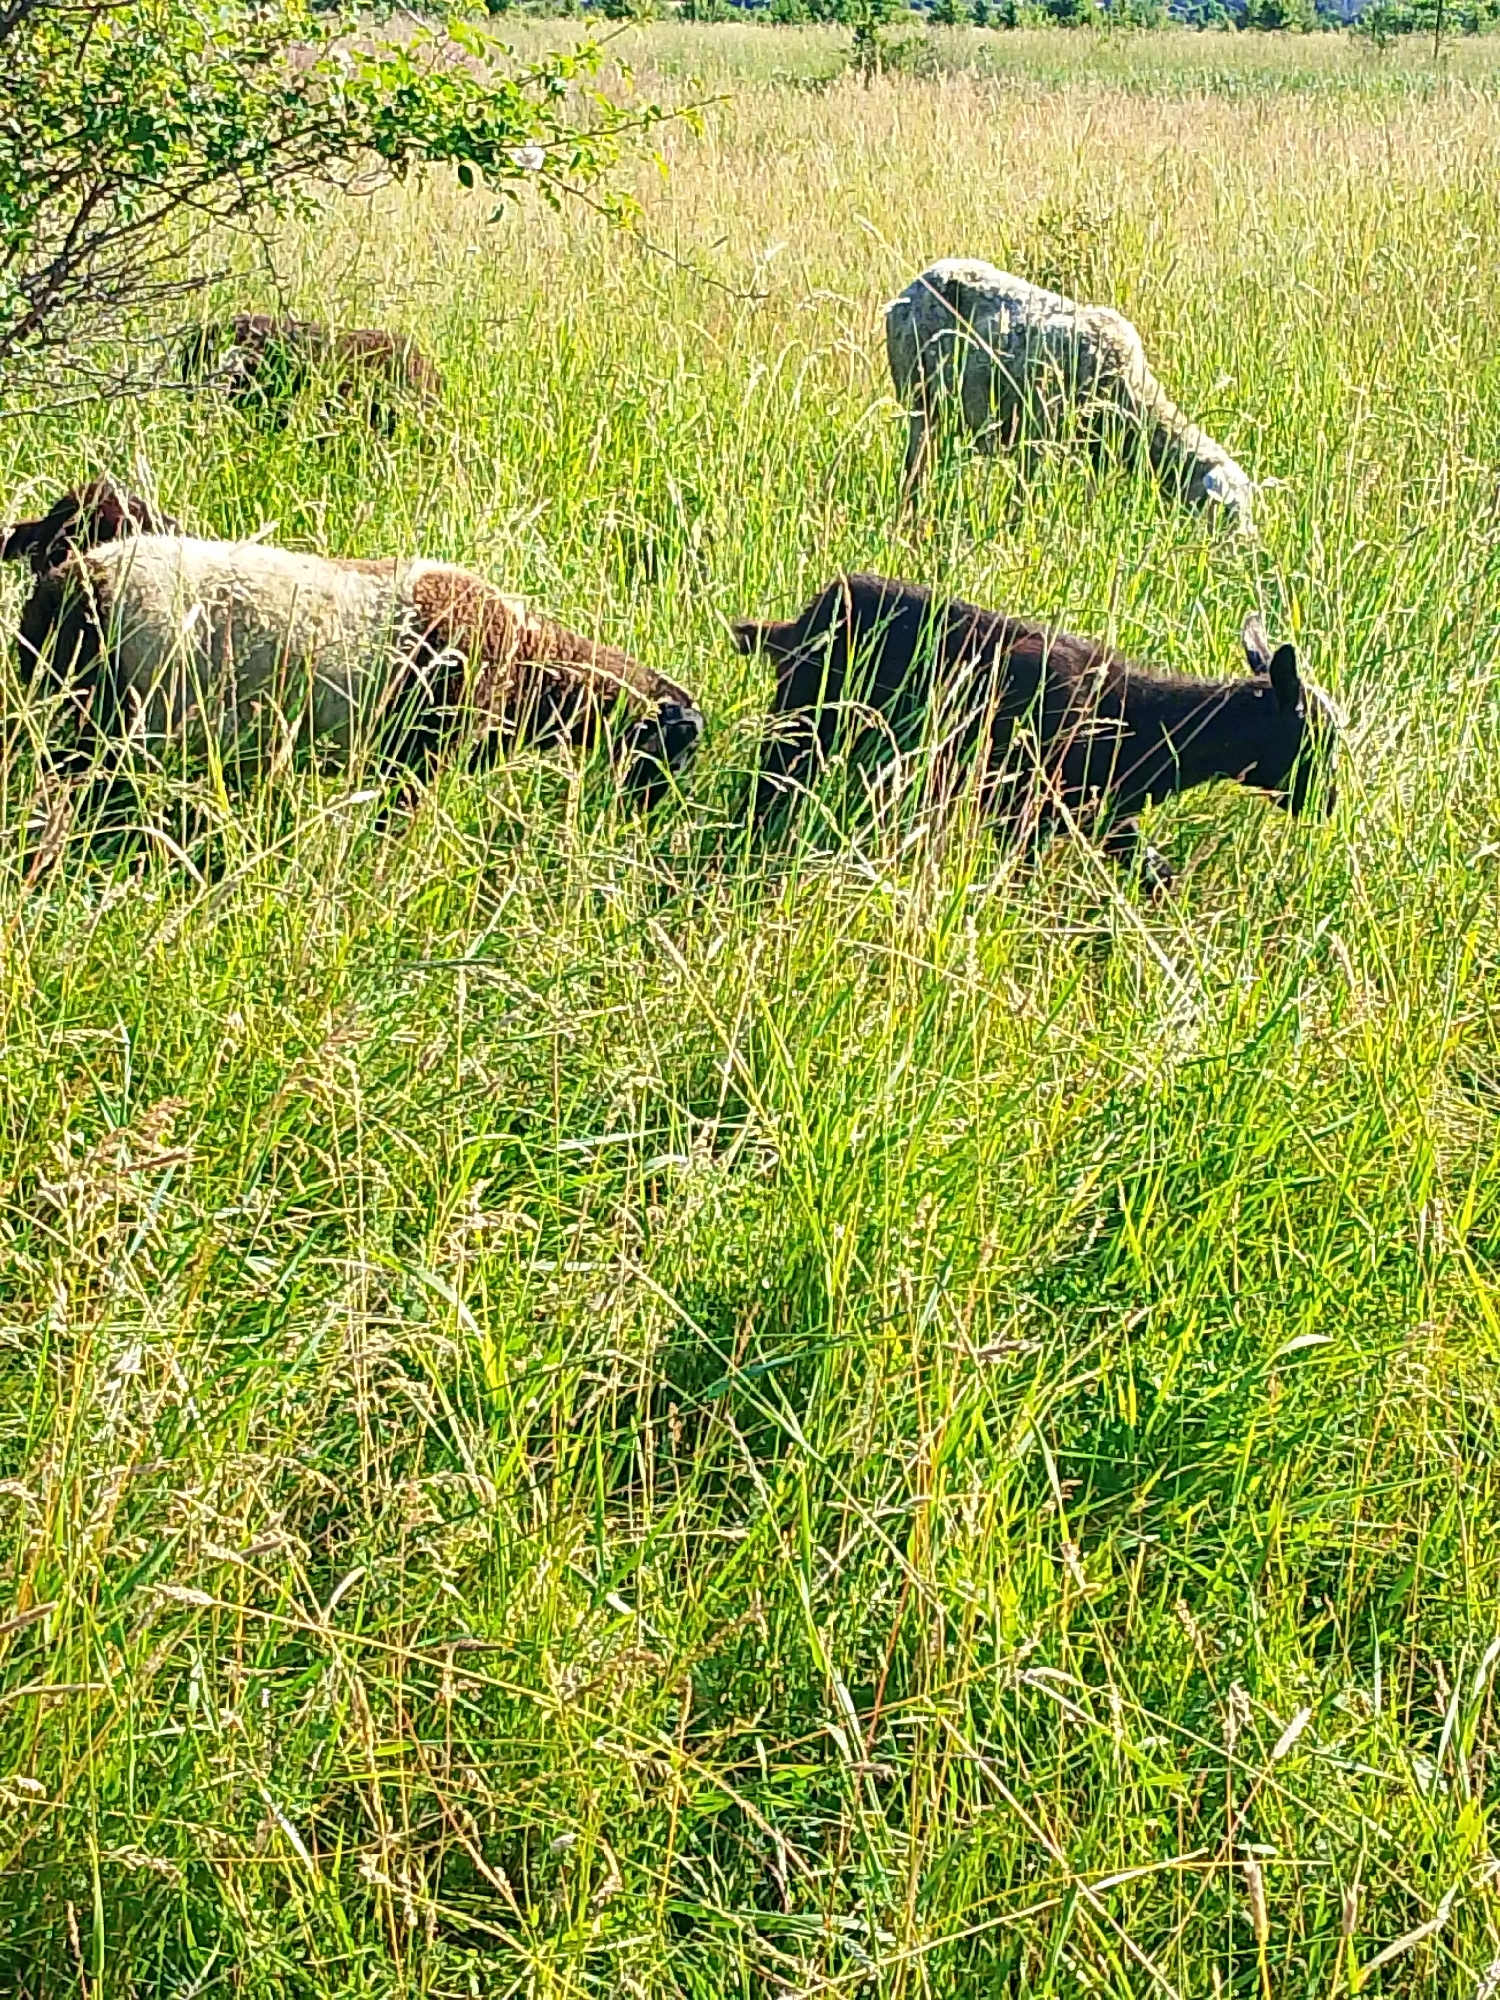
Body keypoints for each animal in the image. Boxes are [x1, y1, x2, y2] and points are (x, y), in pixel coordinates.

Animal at [3, 485, 702, 809]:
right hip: (109, 718)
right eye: (673, 748)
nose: (647, 814)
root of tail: (67, 582)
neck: (530, 661)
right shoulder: (419, 761)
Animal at [735, 573, 1337, 890]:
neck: (1145, 725)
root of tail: (796, 625)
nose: (1326, 804)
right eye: (1314, 738)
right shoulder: (1025, 811)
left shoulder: (1100, 818)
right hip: (800, 729)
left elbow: (1158, 875)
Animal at [886, 259, 1258, 530]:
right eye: (1227, 512)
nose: (1245, 549)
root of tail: (920, 278)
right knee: (913, 470)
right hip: (920, 400)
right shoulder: (1038, 436)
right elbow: (1025, 496)